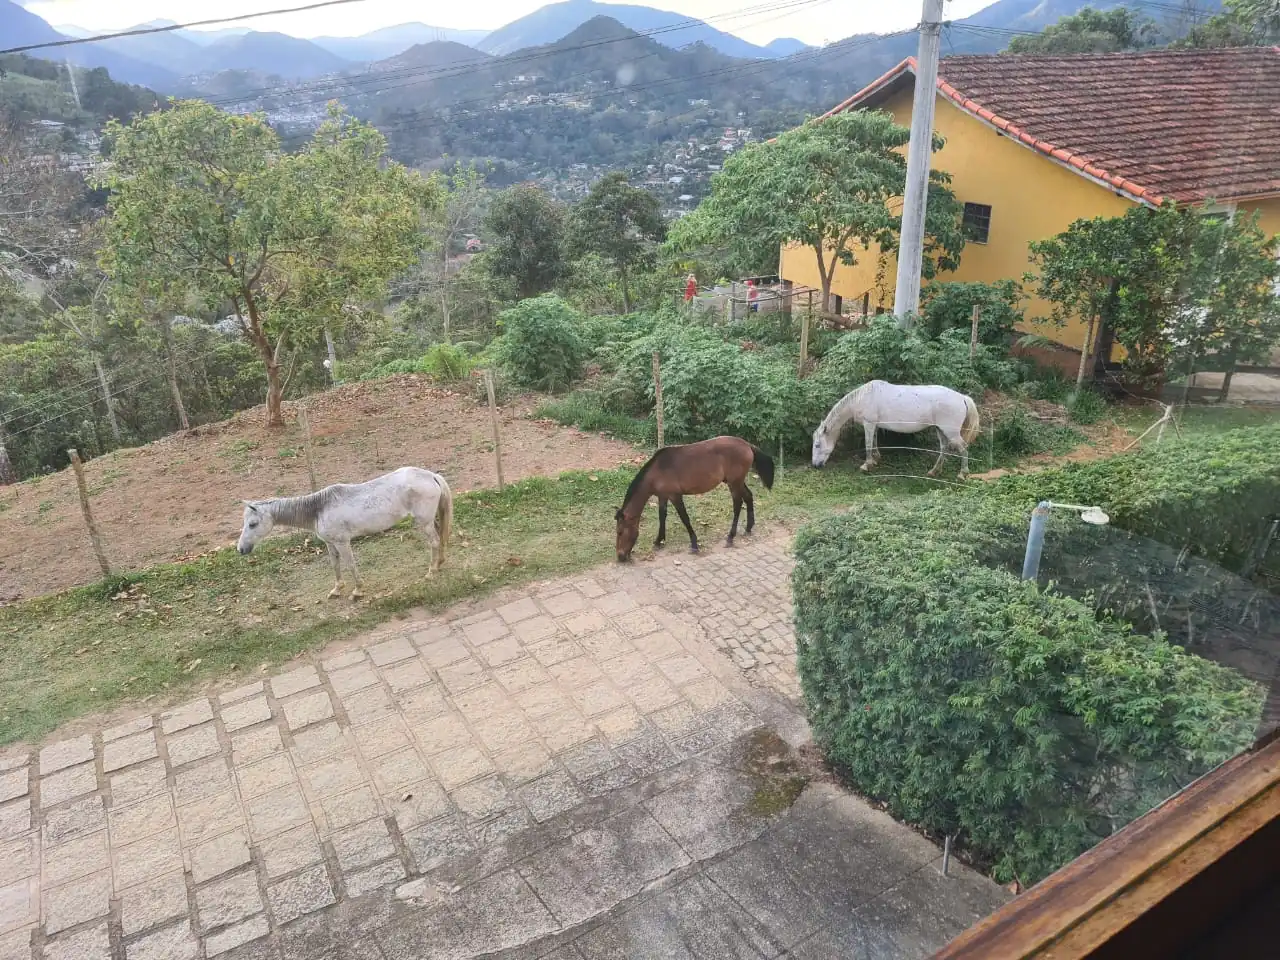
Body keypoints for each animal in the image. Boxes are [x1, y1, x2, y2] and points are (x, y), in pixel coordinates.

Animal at [238, 468, 453, 601]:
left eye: (252, 524)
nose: (241, 549)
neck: (318, 509)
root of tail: (431, 476)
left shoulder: (343, 542)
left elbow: (350, 564)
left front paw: (357, 591)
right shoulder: (330, 543)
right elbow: (335, 565)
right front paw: (337, 589)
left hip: (424, 522)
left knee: (434, 542)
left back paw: (431, 572)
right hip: (429, 520)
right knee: (439, 537)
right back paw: (440, 563)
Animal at [614, 437, 773, 563]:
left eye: (620, 532)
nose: (620, 556)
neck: (657, 471)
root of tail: (747, 445)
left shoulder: (675, 496)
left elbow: (685, 518)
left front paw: (694, 544)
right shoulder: (663, 496)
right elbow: (662, 517)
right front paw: (659, 541)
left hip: (734, 483)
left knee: (737, 504)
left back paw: (730, 537)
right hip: (736, 482)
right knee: (749, 497)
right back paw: (749, 527)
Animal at [808, 381, 977, 481]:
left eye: (817, 445)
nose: (815, 465)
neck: (863, 397)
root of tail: (962, 397)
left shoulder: (869, 424)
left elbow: (868, 444)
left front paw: (866, 465)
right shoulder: (874, 425)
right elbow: (874, 441)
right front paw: (876, 459)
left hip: (951, 432)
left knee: (964, 448)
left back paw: (962, 473)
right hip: (940, 429)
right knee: (943, 448)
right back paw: (934, 471)